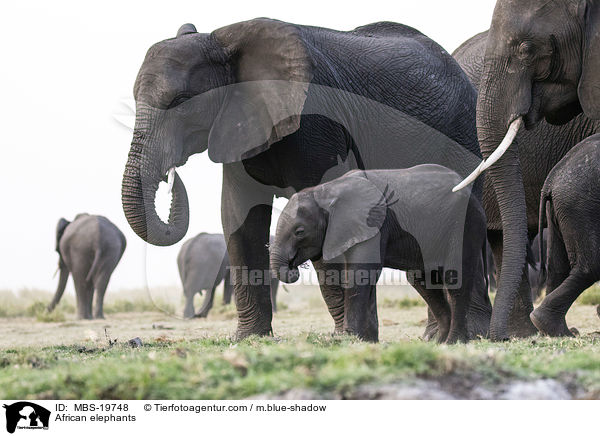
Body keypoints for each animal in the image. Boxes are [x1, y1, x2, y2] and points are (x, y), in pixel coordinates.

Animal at [270, 164, 490, 344]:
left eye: (299, 232)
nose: (294, 269)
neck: (325, 192)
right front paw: (365, 341)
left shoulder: (374, 222)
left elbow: (360, 273)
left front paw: (350, 339)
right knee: (422, 281)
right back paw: (437, 342)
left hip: (465, 223)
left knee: (455, 278)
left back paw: (453, 342)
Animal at [528, 135, 600, 338]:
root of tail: (550, 181)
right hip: (580, 207)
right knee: (590, 267)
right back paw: (560, 331)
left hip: (559, 209)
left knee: (557, 268)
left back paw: (551, 330)